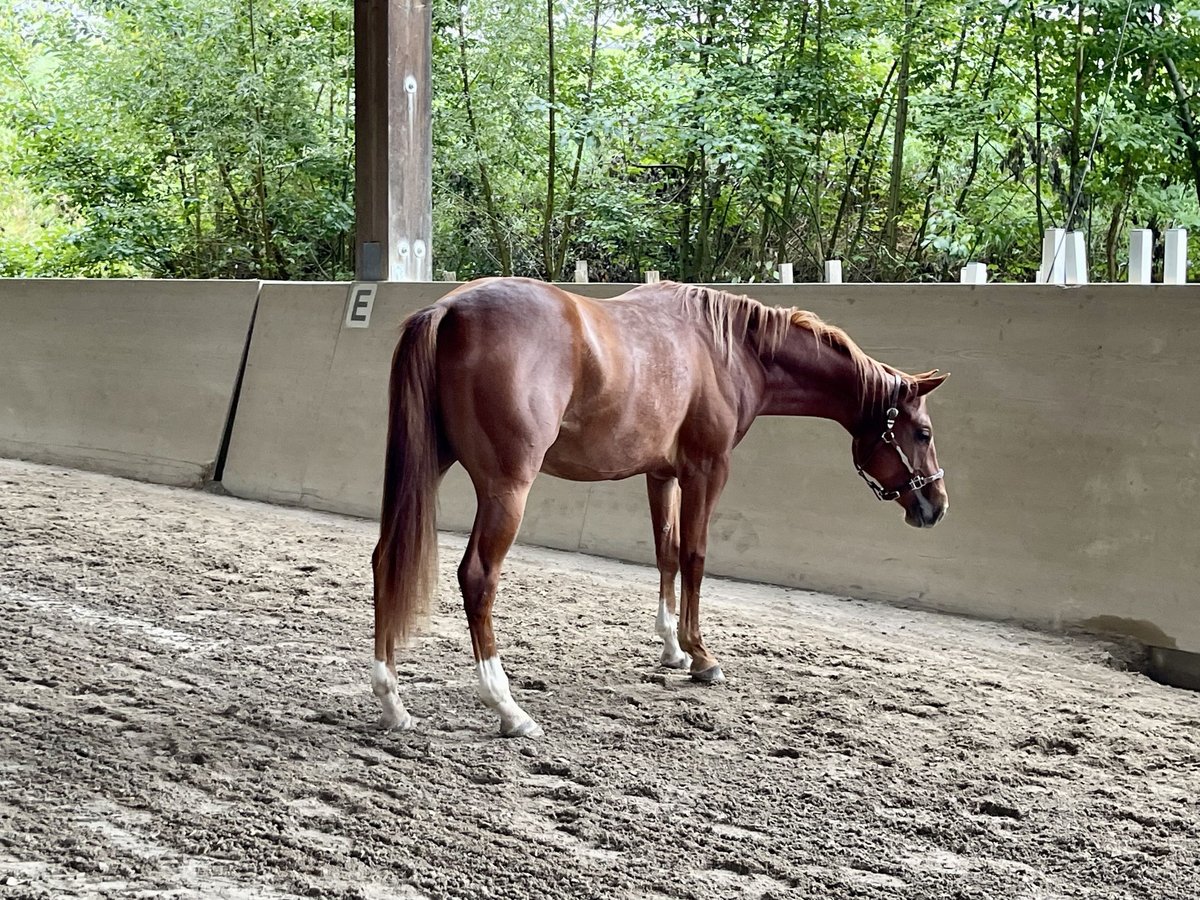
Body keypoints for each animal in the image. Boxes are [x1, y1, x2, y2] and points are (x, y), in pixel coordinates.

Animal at [370, 277, 949, 737]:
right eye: (922, 432)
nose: (936, 506)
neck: (727, 350)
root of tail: (449, 309)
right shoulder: (706, 471)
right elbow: (694, 555)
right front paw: (701, 656)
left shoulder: (661, 475)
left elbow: (666, 554)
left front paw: (672, 648)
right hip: (507, 489)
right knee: (478, 577)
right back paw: (508, 708)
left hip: (432, 466)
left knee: (385, 559)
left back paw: (391, 702)